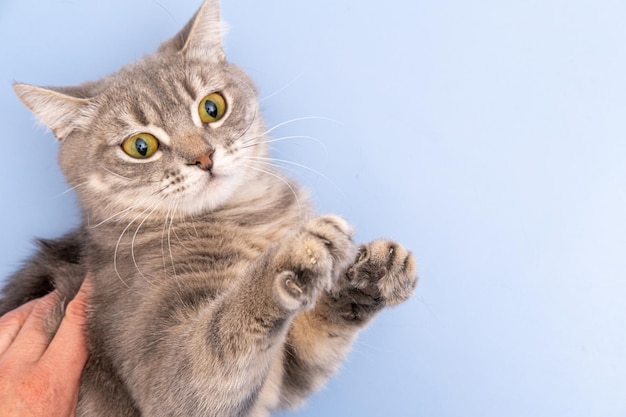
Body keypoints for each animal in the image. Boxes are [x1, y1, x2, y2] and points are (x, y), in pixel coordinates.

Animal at [2, 1, 416, 414]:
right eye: (140, 146)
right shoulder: (168, 378)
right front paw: (296, 254)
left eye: (212, 108)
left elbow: (316, 335)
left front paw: (369, 273)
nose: (203, 157)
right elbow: (221, 333)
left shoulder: (284, 378)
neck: (248, 216)